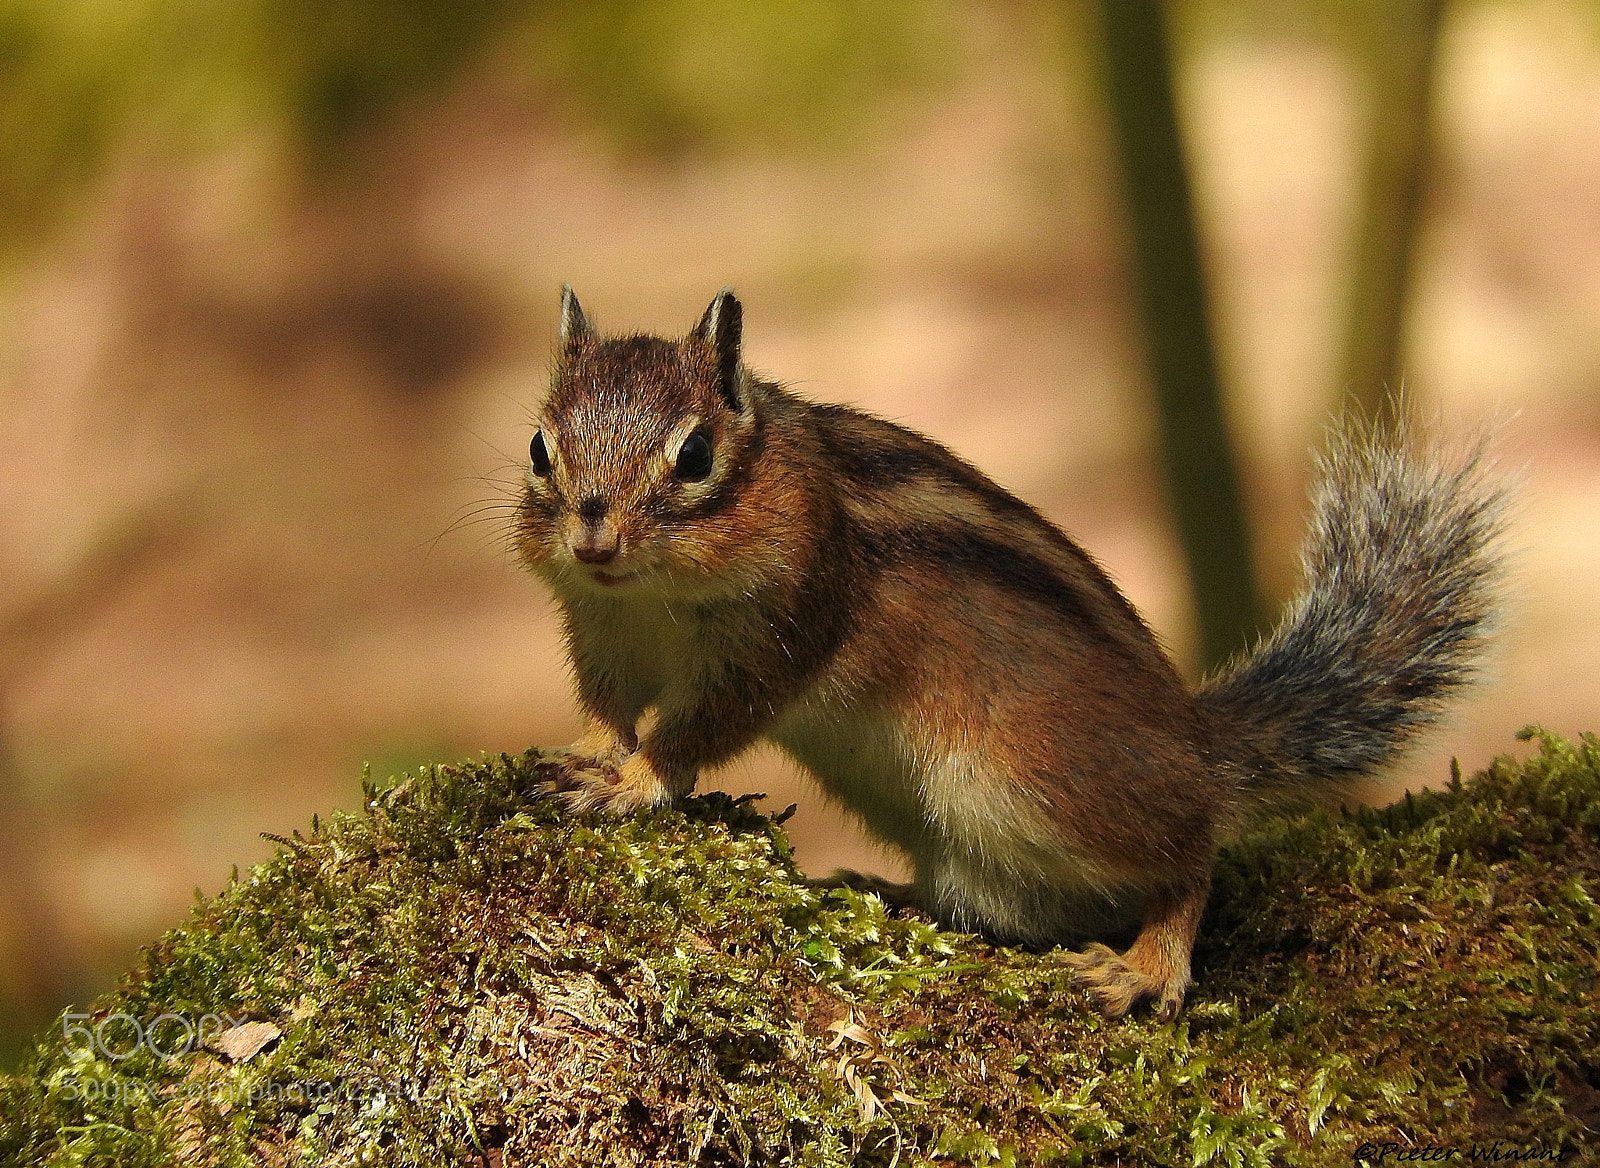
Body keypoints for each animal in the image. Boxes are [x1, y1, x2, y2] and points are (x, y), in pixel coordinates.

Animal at [514, 286, 1507, 1020]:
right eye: (537, 447)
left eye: (694, 456)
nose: (595, 541)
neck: (649, 596)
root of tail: (1202, 748)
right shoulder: (599, 631)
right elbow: (607, 708)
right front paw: (590, 758)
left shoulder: (780, 631)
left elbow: (699, 730)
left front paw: (635, 782)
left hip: (1036, 780)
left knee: (1193, 853)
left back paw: (1149, 963)